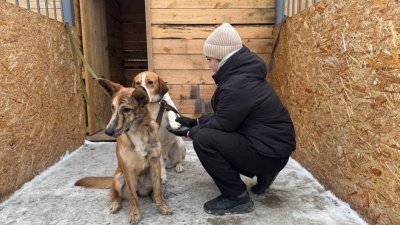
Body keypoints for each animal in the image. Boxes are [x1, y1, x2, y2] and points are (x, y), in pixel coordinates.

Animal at [75, 78, 172, 223]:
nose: (108, 132)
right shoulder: (127, 168)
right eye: (112, 107)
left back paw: (153, 197)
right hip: (119, 178)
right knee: (118, 195)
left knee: (153, 190)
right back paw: (116, 203)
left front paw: (162, 205)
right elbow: (132, 196)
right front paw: (134, 213)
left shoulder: (155, 162)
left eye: (127, 109)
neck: (137, 131)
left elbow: (158, 190)